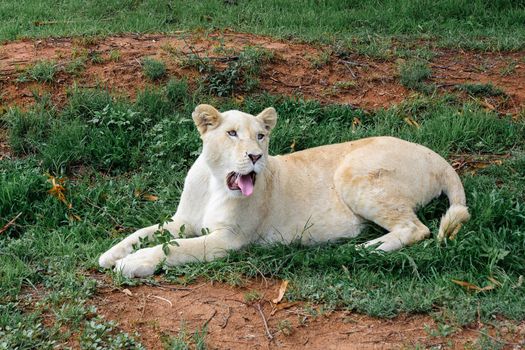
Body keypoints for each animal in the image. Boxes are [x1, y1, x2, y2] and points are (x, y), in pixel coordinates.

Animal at [100, 104, 468, 276]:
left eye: (261, 136)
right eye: (232, 134)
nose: (255, 156)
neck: (215, 181)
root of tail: (434, 155)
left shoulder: (229, 239)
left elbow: (173, 248)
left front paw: (133, 264)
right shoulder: (183, 221)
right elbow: (145, 232)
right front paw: (111, 254)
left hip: (354, 171)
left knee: (416, 228)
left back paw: (365, 248)